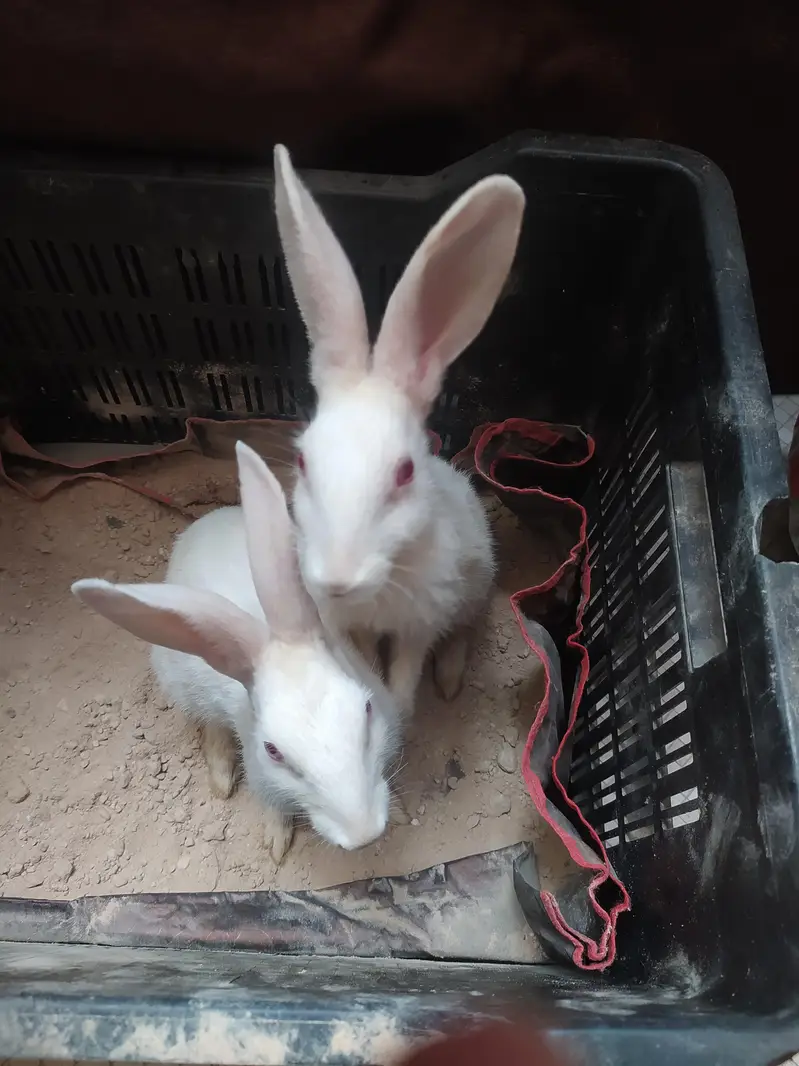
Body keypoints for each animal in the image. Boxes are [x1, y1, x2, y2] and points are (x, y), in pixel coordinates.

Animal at [72, 441, 402, 864]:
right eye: (272, 751)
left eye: (367, 709)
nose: (363, 835)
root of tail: (204, 521)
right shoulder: (264, 778)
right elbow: (274, 808)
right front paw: (276, 845)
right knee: (210, 726)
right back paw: (221, 777)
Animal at [273, 143, 525, 713]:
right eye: (302, 462)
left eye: (405, 471)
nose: (337, 579)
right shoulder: (352, 627)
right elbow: (367, 665)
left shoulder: (421, 623)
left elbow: (407, 675)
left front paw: (404, 708)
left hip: (475, 587)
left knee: (463, 633)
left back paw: (450, 682)